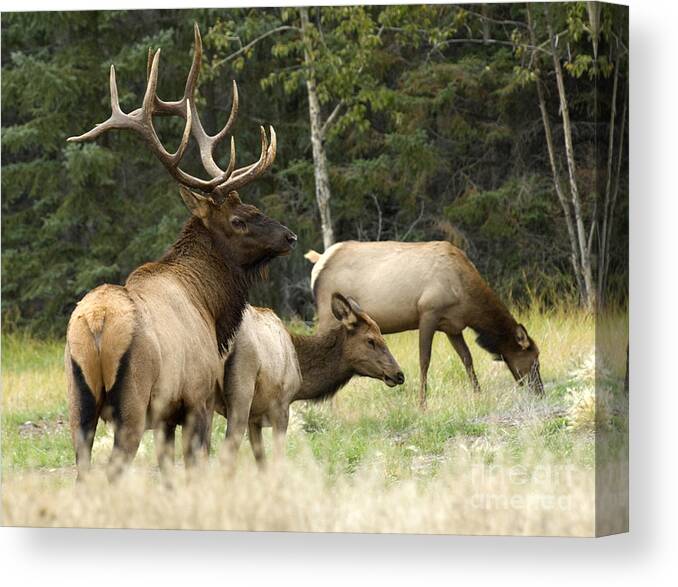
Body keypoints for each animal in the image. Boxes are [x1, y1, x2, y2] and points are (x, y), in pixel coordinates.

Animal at [66, 24, 298, 482]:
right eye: (240, 219)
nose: (289, 236)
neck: (210, 305)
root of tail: (97, 325)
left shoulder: (166, 416)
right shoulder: (197, 398)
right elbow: (197, 466)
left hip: (77, 403)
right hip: (132, 402)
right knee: (113, 468)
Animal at [215, 296, 404, 466]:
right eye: (371, 340)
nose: (399, 374)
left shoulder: (255, 417)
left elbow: (261, 461)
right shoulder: (281, 406)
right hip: (242, 390)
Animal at [310, 240, 548, 408]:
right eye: (535, 359)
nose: (540, 392)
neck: (466, 297)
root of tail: (318, 264)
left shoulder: (453, 326)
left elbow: (467, 358)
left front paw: (478, 394)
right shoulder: (428, 313)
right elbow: (424, 360)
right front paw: (422, 404)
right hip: (328, 316)